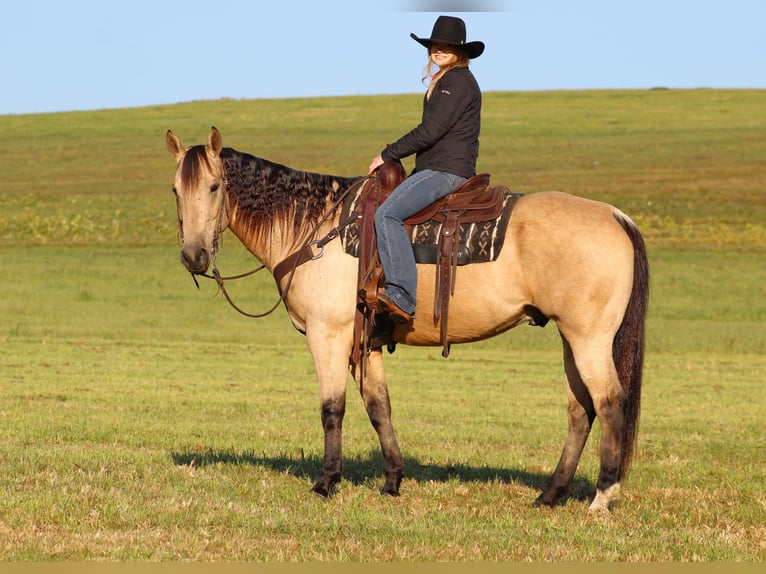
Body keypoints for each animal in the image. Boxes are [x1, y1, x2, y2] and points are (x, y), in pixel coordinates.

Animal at [166, 127, 648, 512]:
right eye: (175, 190)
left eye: (214, 187)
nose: (193, 256)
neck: (316, 230)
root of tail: (615, 216)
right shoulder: (366, 344)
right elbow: (379, 407)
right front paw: (393, 481)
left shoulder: (328, 335)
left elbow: (332, 408)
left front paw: (325, 483)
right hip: (571, 338)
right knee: (580, 410)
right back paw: (550, 494)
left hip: (589, 339)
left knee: (609, 403)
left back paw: (602, 496)